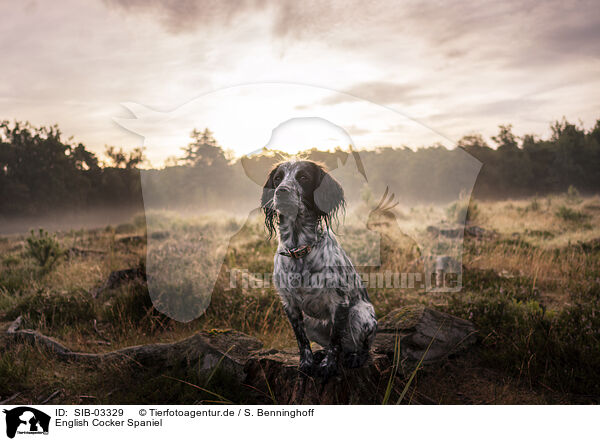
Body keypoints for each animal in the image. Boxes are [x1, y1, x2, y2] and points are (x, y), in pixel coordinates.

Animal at [262, 160, 378, 376]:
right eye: (277, 178)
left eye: (303, 177)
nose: (281, 191)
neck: (298, 249)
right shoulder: (289, 304)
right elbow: (302, 340)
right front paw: (307, 362)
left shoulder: (340, 302)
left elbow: (335, 341)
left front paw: (328, 366)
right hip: (311, 322)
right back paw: (320, 354)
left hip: (360, 314)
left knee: (360, 347)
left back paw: (355, 357)